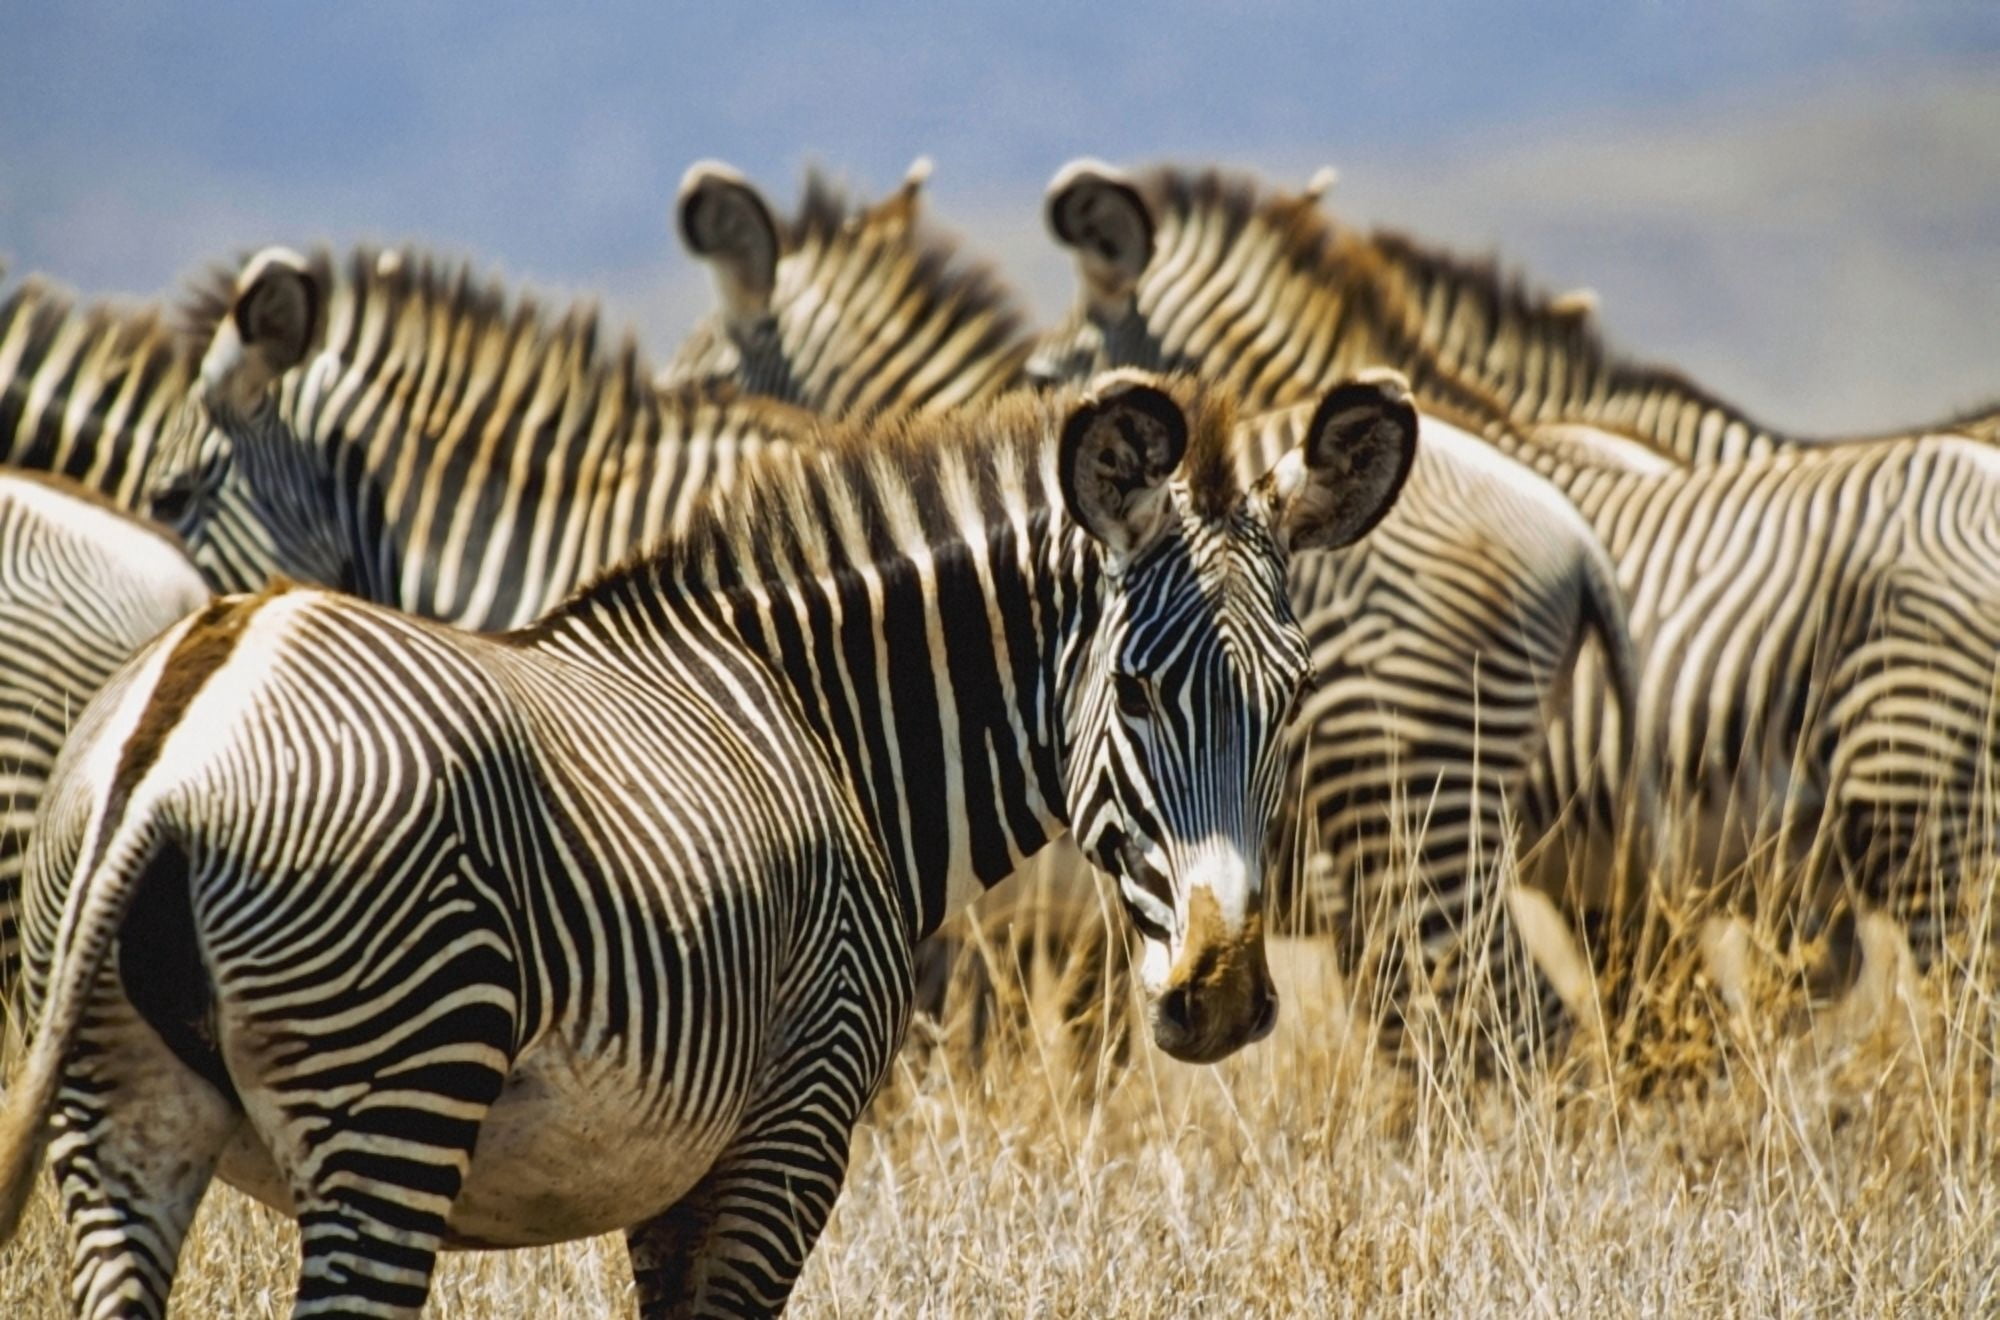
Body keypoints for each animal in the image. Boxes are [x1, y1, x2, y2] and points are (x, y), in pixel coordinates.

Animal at [0, 369, 1418, 1317]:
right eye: (1132, 693)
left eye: (1290, 700)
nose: (1219, 996)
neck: (825, 716)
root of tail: (187, 722)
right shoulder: (784, 1137)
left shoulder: (674, 1174)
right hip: (392, 1100)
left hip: (115, 1118)